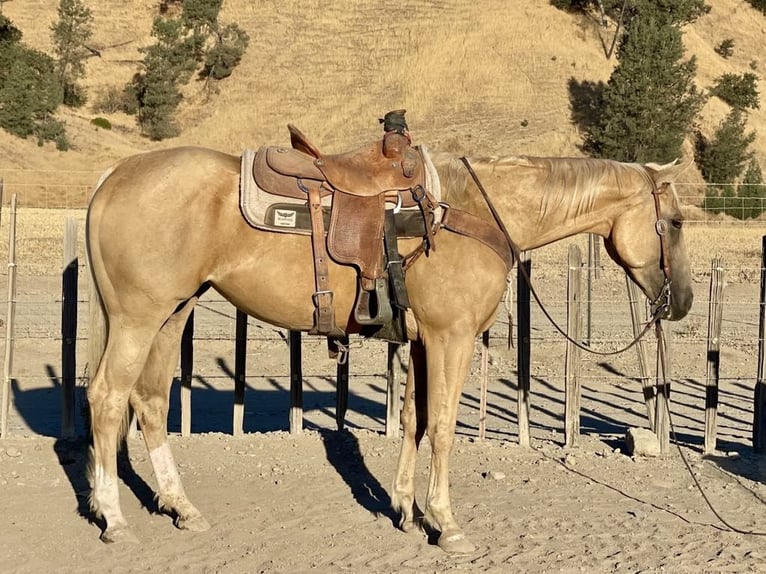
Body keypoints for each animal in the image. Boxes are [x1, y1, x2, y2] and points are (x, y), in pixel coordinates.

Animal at [84, 143, 693, 553]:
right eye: (676, 222)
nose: (683, 301)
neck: (474, 211)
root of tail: (113, 177)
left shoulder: (424, 342)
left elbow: (415, 420)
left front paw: (405, 509)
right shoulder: (451, 339)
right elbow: (443, 425)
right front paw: (446, 524)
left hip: (173, 314)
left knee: (150, 401)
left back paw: (180, 507)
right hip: (139, 317)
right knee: (108, 398)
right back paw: (114, 518)